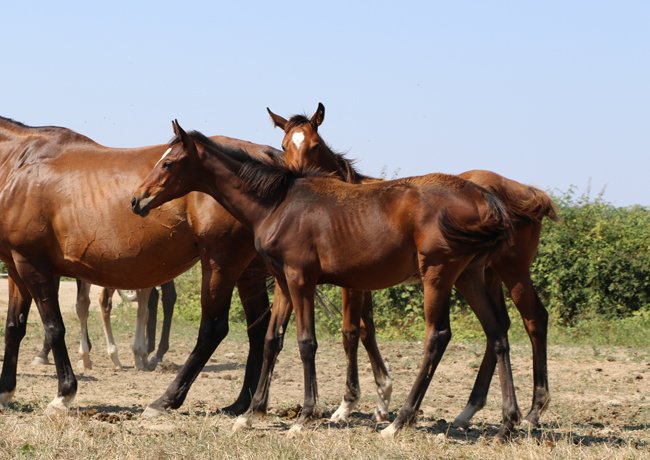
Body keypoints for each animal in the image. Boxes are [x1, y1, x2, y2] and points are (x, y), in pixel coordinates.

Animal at [132, 121, 521, 439]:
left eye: (168, 163)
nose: (137, 200)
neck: (278, 204)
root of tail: (484, 197)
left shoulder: (300, 279)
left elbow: (307, 343)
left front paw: (304, 416)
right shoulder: (283, 282)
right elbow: (272, 340)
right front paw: (251, 414)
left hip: (437, 274)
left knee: (437, 337)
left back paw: (398, 422)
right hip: (469, 275)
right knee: (498, 333)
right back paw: (507, 423)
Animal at [267, 103, 557, 428]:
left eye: (315, 145)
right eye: (284, 145)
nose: (296, 177)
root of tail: (525, 192)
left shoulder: (351, 284)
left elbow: (351, 332)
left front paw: (347, 405)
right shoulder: (362, 281)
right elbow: (367, 330)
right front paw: (381, 400)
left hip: (512, 271)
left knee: (535, 319)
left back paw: (533, 412)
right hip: (485, 275)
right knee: (499, 326)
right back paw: (469, 411)